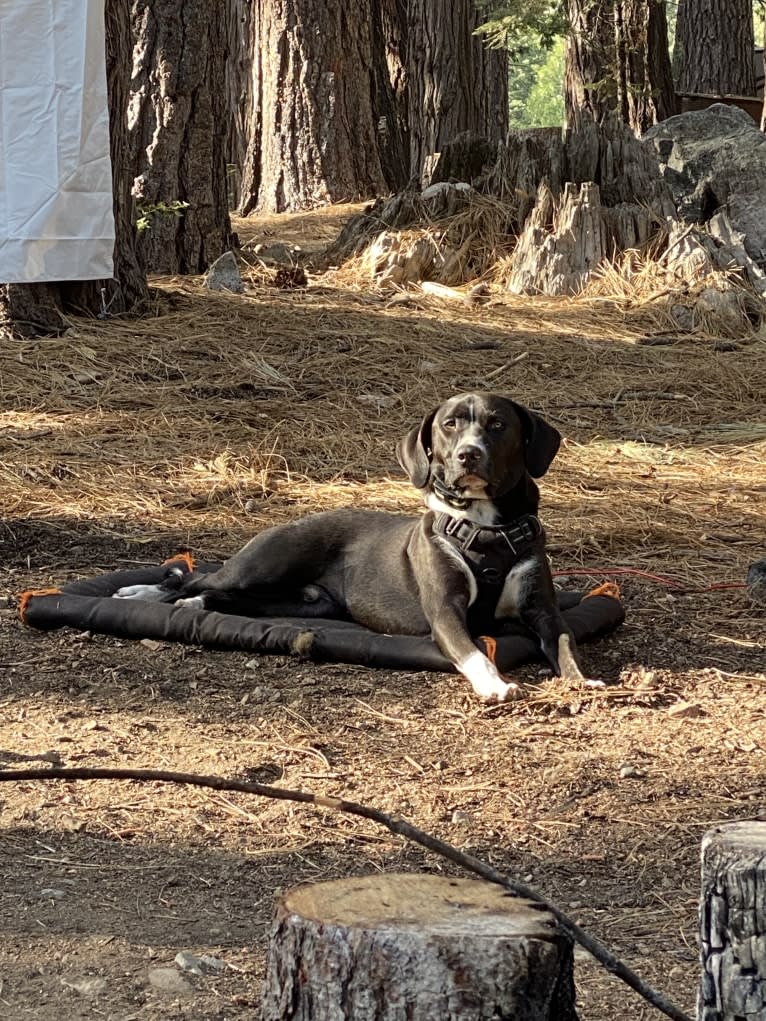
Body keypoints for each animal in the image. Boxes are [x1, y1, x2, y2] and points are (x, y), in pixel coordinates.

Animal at [115, 392, 592, 702]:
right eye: (449, 424)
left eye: (497, 424)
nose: (468, 455)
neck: (485, 527)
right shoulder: (445, 613)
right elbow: (476, 653)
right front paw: (494, 684)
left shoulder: (543, 610)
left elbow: (565, 642)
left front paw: (581, 680)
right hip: (264, 564)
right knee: (197, 578)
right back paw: (143, 593)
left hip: (299, 604)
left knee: (222, 596)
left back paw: (193, 604)